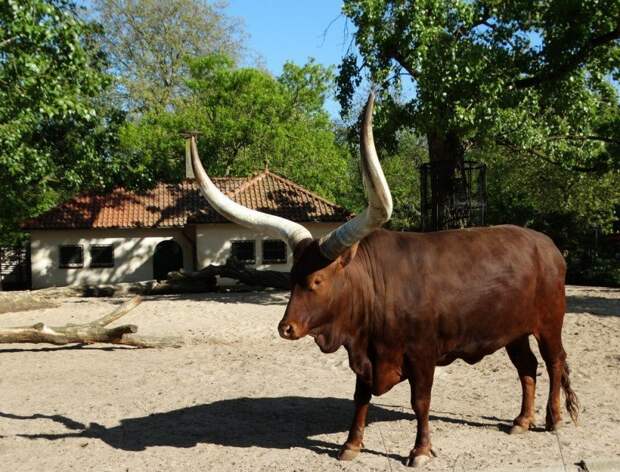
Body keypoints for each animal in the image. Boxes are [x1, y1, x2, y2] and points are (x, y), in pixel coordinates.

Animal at [188, 91, 576, 464]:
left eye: (317, 281)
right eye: (292, 278)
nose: (286, 328)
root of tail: (549, 246)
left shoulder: (422, 354)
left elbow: (421, 401)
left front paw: (420, 451)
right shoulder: (366, 356)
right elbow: (360, 397)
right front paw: (351, 445)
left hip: (549, 322)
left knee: (554, 362)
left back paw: (553, 419)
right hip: (514, 331)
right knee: (527, 367)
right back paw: (520, 421)